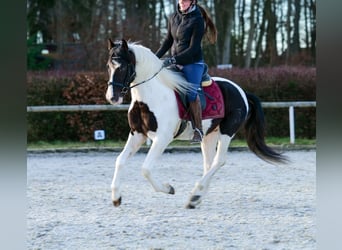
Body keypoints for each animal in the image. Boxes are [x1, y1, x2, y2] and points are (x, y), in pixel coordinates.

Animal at [105, 37, 288, 209]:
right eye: (108, 67)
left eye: (122, 67)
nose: (112, 97)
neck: (150, 96)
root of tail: (241, 91)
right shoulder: (137, 134)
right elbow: (120, 161)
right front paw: (116, 197)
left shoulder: (162, 138)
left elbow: (146, 169)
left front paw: (168, 188)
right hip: (209, 135)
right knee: (209, 164)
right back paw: (196, 198)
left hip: (227, 131)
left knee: (219, 161)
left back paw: (195, 195)